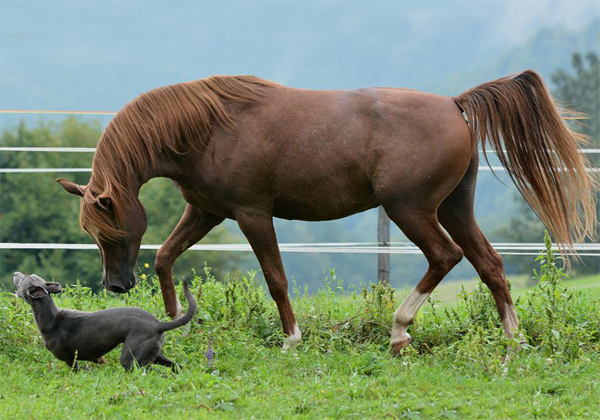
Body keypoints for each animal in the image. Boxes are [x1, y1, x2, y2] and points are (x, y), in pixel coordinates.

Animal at [14, 272, 196, 370]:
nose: (16, 273)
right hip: (154, 354)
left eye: (25, 278)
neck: (53, 319)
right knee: (176, 367)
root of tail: (158, 324)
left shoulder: (69, 360)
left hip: (132, 359)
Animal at [56, 70, 596, 352]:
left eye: (108, 232)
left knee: (445, 257)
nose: (115, 286)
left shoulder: (252, 215)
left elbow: (276, 278)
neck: (209, 129)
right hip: (455, 209)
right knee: (491, 265)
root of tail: (454, 104)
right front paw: (175, 322)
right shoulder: (206, 212)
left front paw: (292, 339)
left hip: (412, 210)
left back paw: (400, 330)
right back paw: (512, 340)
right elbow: (166, 257)